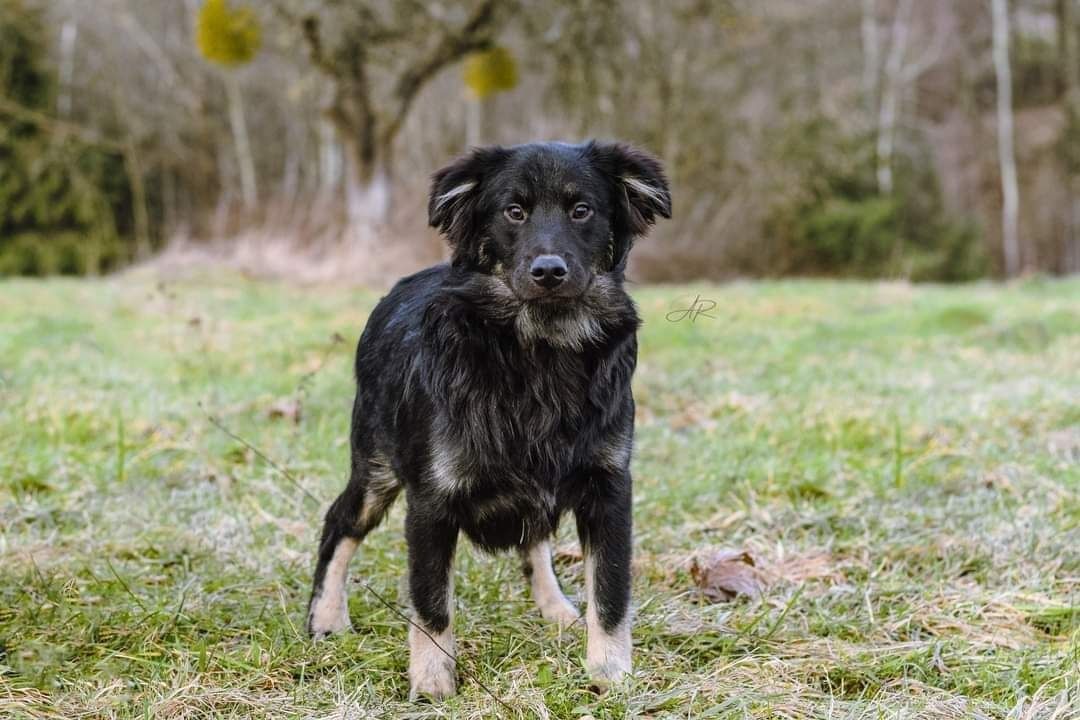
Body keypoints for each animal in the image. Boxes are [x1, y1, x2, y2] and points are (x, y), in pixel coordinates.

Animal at [306, 139, 665, 699]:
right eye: (513, 211)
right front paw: (433, 684)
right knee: (339, 523)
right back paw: (325, 617)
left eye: (582, 210)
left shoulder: (608, 487)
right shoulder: (431, 500)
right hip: (375, 467)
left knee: (535, 542)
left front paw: (610, 674)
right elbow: (432, 604)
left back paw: (556, 608)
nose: (548, 270)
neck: (538, 350)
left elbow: (610, 593)